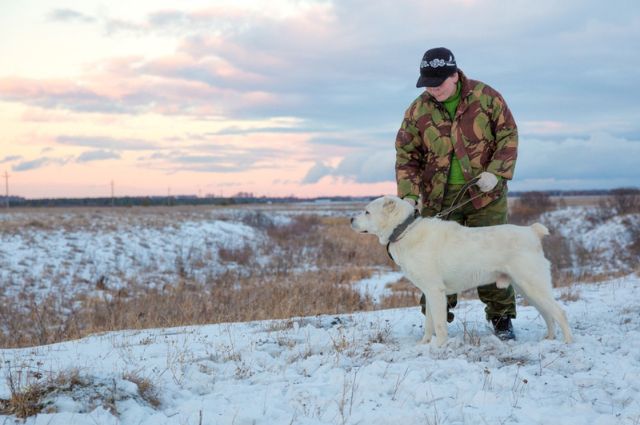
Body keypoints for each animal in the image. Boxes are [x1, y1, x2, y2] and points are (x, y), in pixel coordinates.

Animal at [352, 195, 572, 344]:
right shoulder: (429, 292)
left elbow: (439, 325)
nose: (350, 220)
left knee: (560, 313)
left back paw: (567, 342)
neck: (405, 230)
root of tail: (532, 232)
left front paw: (438, 348)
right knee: (548, 314)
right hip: (527, 289)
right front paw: (424, 344)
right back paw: (549, 339)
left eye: (367, 211)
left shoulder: (436, 292)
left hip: (533, 286)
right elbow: (429, 323)